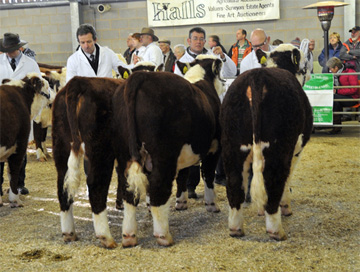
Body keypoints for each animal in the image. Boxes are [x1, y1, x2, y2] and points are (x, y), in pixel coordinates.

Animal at [116, 56, 225, 248]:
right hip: (163, 155)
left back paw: (129, 236)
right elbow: (208, 175)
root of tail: (141, 77)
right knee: (159, 185)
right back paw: (163, 236)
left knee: (128, 189)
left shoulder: (185, 152)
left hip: (125, 154)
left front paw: (181, 202)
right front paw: (211, 204)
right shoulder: (214, 147)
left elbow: (183, 176)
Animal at [219, 44, 312, 240]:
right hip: (278, 148)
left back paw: (235, 228)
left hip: (232, 146)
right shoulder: (296, 151)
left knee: (235, 184)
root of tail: (257, 76)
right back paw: (276, 230)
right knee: (274, 179)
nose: (308, 73)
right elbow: (287, 180)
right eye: (303, 66)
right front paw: (285, 207)